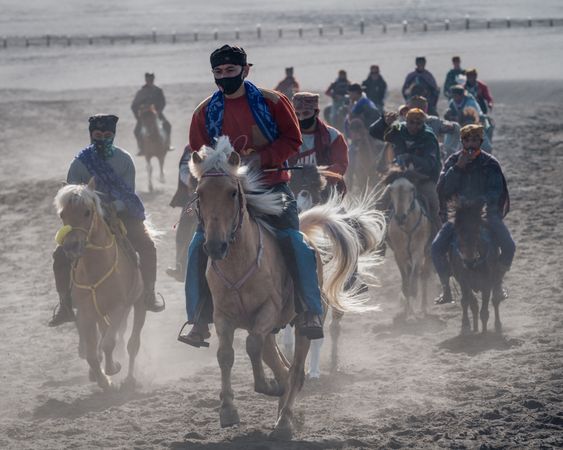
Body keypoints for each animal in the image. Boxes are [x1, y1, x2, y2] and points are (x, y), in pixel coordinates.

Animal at [54, 178, 147, 390]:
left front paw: (112, 370)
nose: (71, 247)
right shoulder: (85, 314)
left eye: (87, 212)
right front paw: (103, 380)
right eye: (62, 214)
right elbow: (91, 352)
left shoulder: (118, 308)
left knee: (132, 343)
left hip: (138, 305)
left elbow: (108, 343)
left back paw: (130, 378)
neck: (95, 270)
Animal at [286, 163, 388, 378]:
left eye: (305, 191)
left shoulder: (322, 295)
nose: (295, 209)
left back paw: (332, 362)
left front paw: (313, 371)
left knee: (334, 328)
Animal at [382, 168, 434, 320]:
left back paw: (423, 307)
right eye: (391, 189)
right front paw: (406, 312)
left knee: (424, 276)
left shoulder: (418, 251)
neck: (407, 225)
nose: (400, 217)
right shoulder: (399, 254)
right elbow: (405, 282)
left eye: (411, 189)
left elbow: (414, 278)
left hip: (428, 253)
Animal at [452, 203, 504, 334]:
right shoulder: (463, 281)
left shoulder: (487, 283)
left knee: (496, 300)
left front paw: (484, 332)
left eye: (477, 231)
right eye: (458, 232)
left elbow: (484, 310)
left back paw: (497, 325)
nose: (469, 261)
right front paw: (465, 326)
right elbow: (466, 301)